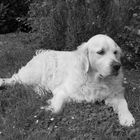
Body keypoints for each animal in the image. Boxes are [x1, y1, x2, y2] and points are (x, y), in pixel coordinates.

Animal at [0, 34, 136, 127]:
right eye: (100, 52)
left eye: (115, 52)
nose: (117, 66)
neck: (96, 79)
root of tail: (40, 53)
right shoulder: (62, 90)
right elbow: (57, 108)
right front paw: (48, 109)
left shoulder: (115, 94)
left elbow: (123, 103)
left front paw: (127, 118)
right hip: (31, 74)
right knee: (14, 79)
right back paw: (3, 82)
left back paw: (41, 91)